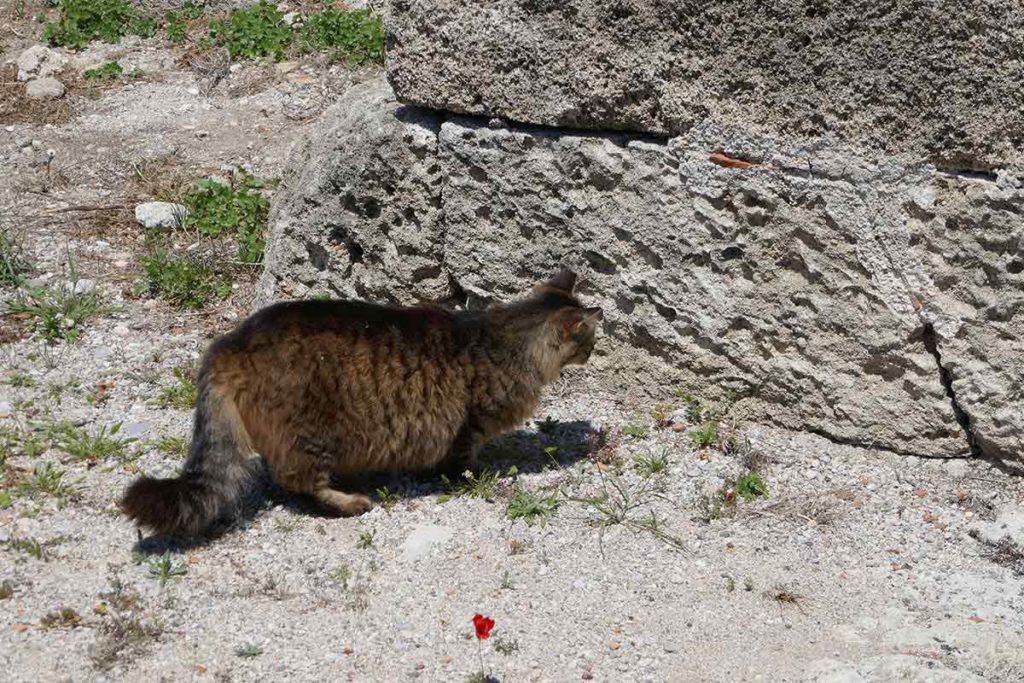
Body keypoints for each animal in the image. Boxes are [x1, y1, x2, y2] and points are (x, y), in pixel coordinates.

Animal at [120, 270, 602, 536]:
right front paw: (478, 476)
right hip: (311, 435)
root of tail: (231, 341)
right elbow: (462, 460)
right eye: (590, 341)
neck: (506, 335)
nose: (595, 352)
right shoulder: (468, 424)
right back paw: (350, 502)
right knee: (299, 481)